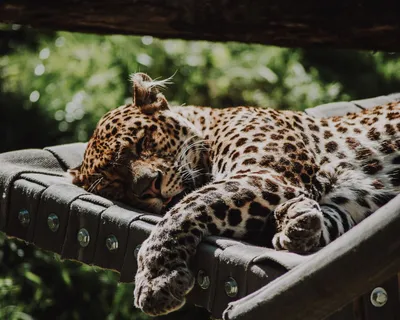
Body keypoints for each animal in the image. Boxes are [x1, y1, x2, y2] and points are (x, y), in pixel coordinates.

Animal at [69, 72, 400, 316]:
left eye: (143, 142)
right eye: (114, 184)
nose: (149, 185)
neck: (211, 125)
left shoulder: (269, 174)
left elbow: (185, 207)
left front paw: (157, 278)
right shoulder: (347, 205)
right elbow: (337, 223)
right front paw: (299, 225)